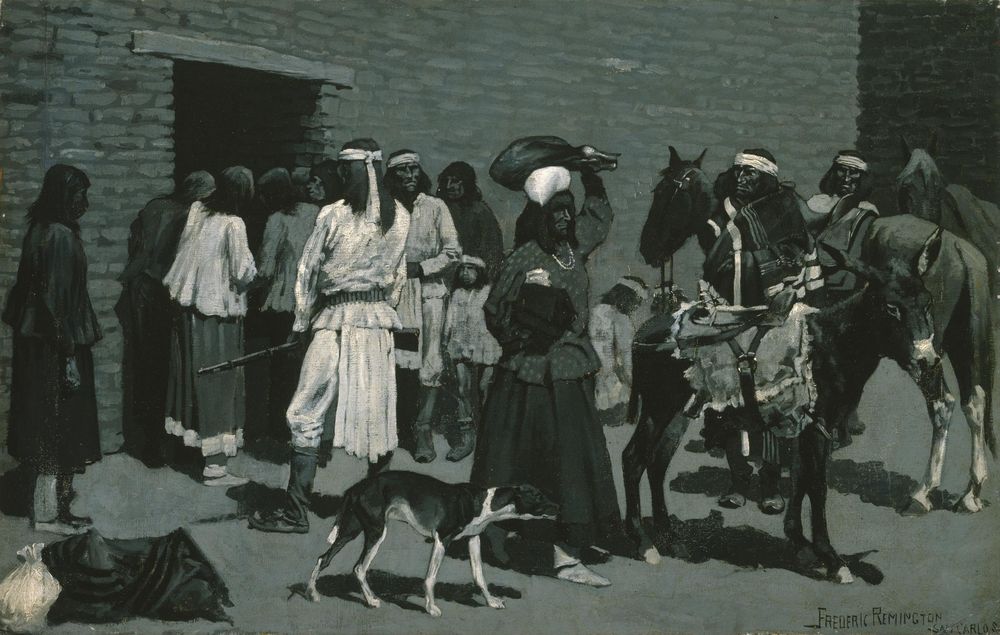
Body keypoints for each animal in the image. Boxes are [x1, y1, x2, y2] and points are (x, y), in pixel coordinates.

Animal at [306, 472, 556, 616]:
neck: (483, 502)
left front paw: (491, 601)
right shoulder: (441, 539)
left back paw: (311, 593)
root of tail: (356, 487)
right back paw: (369, 600)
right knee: (358, 568)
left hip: (351, 530)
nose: (559, 507)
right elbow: (430, 578)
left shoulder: (473, 539)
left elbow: (479, 575)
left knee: (323, 558)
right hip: (375, 532)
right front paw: (430, 607)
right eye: (538, 496)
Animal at [628, 148, 988, 580]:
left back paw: (929, 493)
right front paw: (817, 549)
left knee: (948, 404)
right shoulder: (806, 423)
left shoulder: (807, 422)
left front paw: (806, 542)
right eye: (891, 306)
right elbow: (807, 481)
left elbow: (804, 479)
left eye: (668, 192)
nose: (648, 248)